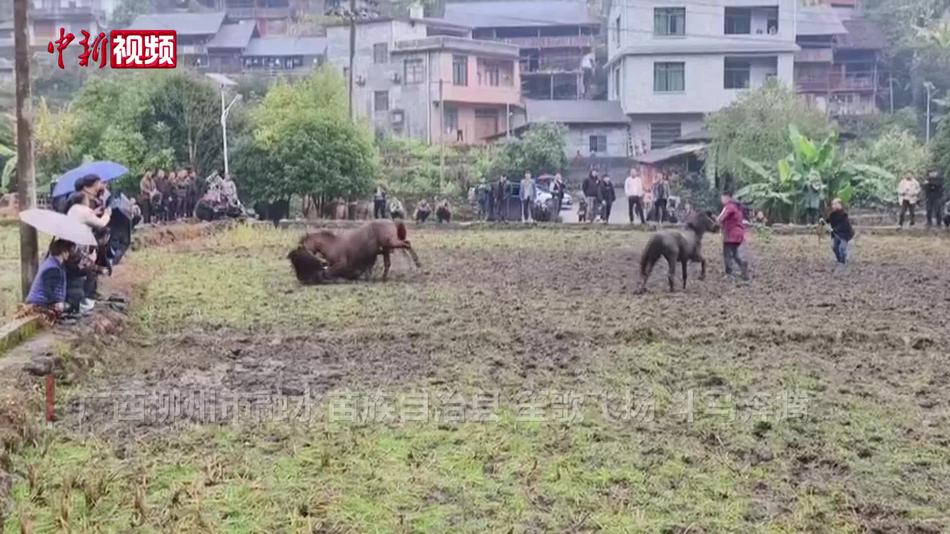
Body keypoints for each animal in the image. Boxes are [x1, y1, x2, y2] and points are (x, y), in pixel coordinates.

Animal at [288, 220, 421, 284]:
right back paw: (383, 278)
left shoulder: (342, 264)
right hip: (387, 246)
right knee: (388, 262)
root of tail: (391, 221)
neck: (332, 244)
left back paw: (417, 262)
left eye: (302, 246)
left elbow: (327, 273)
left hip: (391, 242)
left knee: (407, 243)